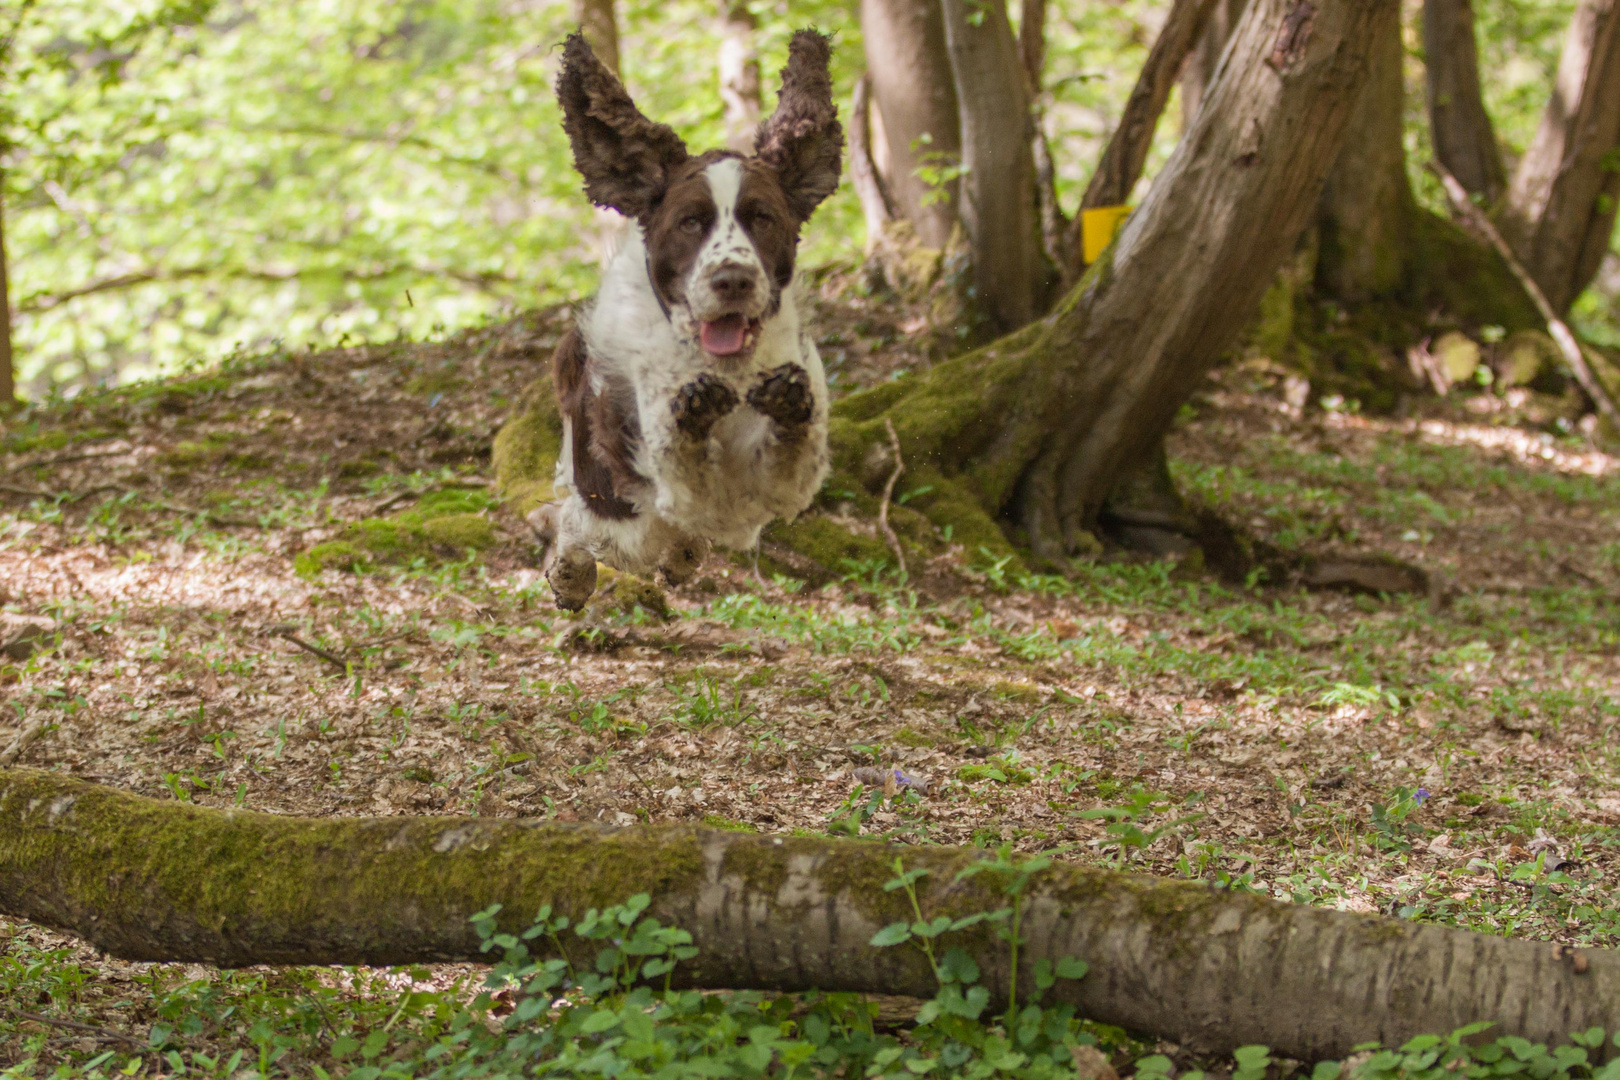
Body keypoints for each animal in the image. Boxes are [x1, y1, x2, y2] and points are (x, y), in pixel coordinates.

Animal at [534, 29, 842, 612]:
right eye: (690, 222)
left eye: (762, 218)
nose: (732, 278)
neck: (728, 368)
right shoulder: (659, 476)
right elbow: (681, 461)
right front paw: (694, 411)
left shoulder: (772, 489)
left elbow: (792, 457)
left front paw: (787, 403)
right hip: (616, 508)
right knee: (578, 524)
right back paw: (570, 574)